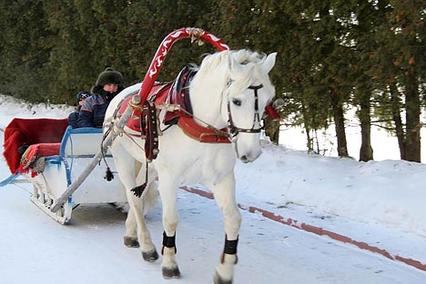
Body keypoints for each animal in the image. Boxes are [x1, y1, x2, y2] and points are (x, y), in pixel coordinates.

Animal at [103, 50, 276, 282]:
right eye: (236, 101)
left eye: (268, 99)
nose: (252, 152)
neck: (200, 125)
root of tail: (123, 95)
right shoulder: (169, 178)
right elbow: (170, 220)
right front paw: (170, 264)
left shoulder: (222, 177)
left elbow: (233, 219)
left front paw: (224, 270)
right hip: (122, 157)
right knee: (134, 198)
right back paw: (147, 246)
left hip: (151, 164)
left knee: (138, 193)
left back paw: (132, 234)